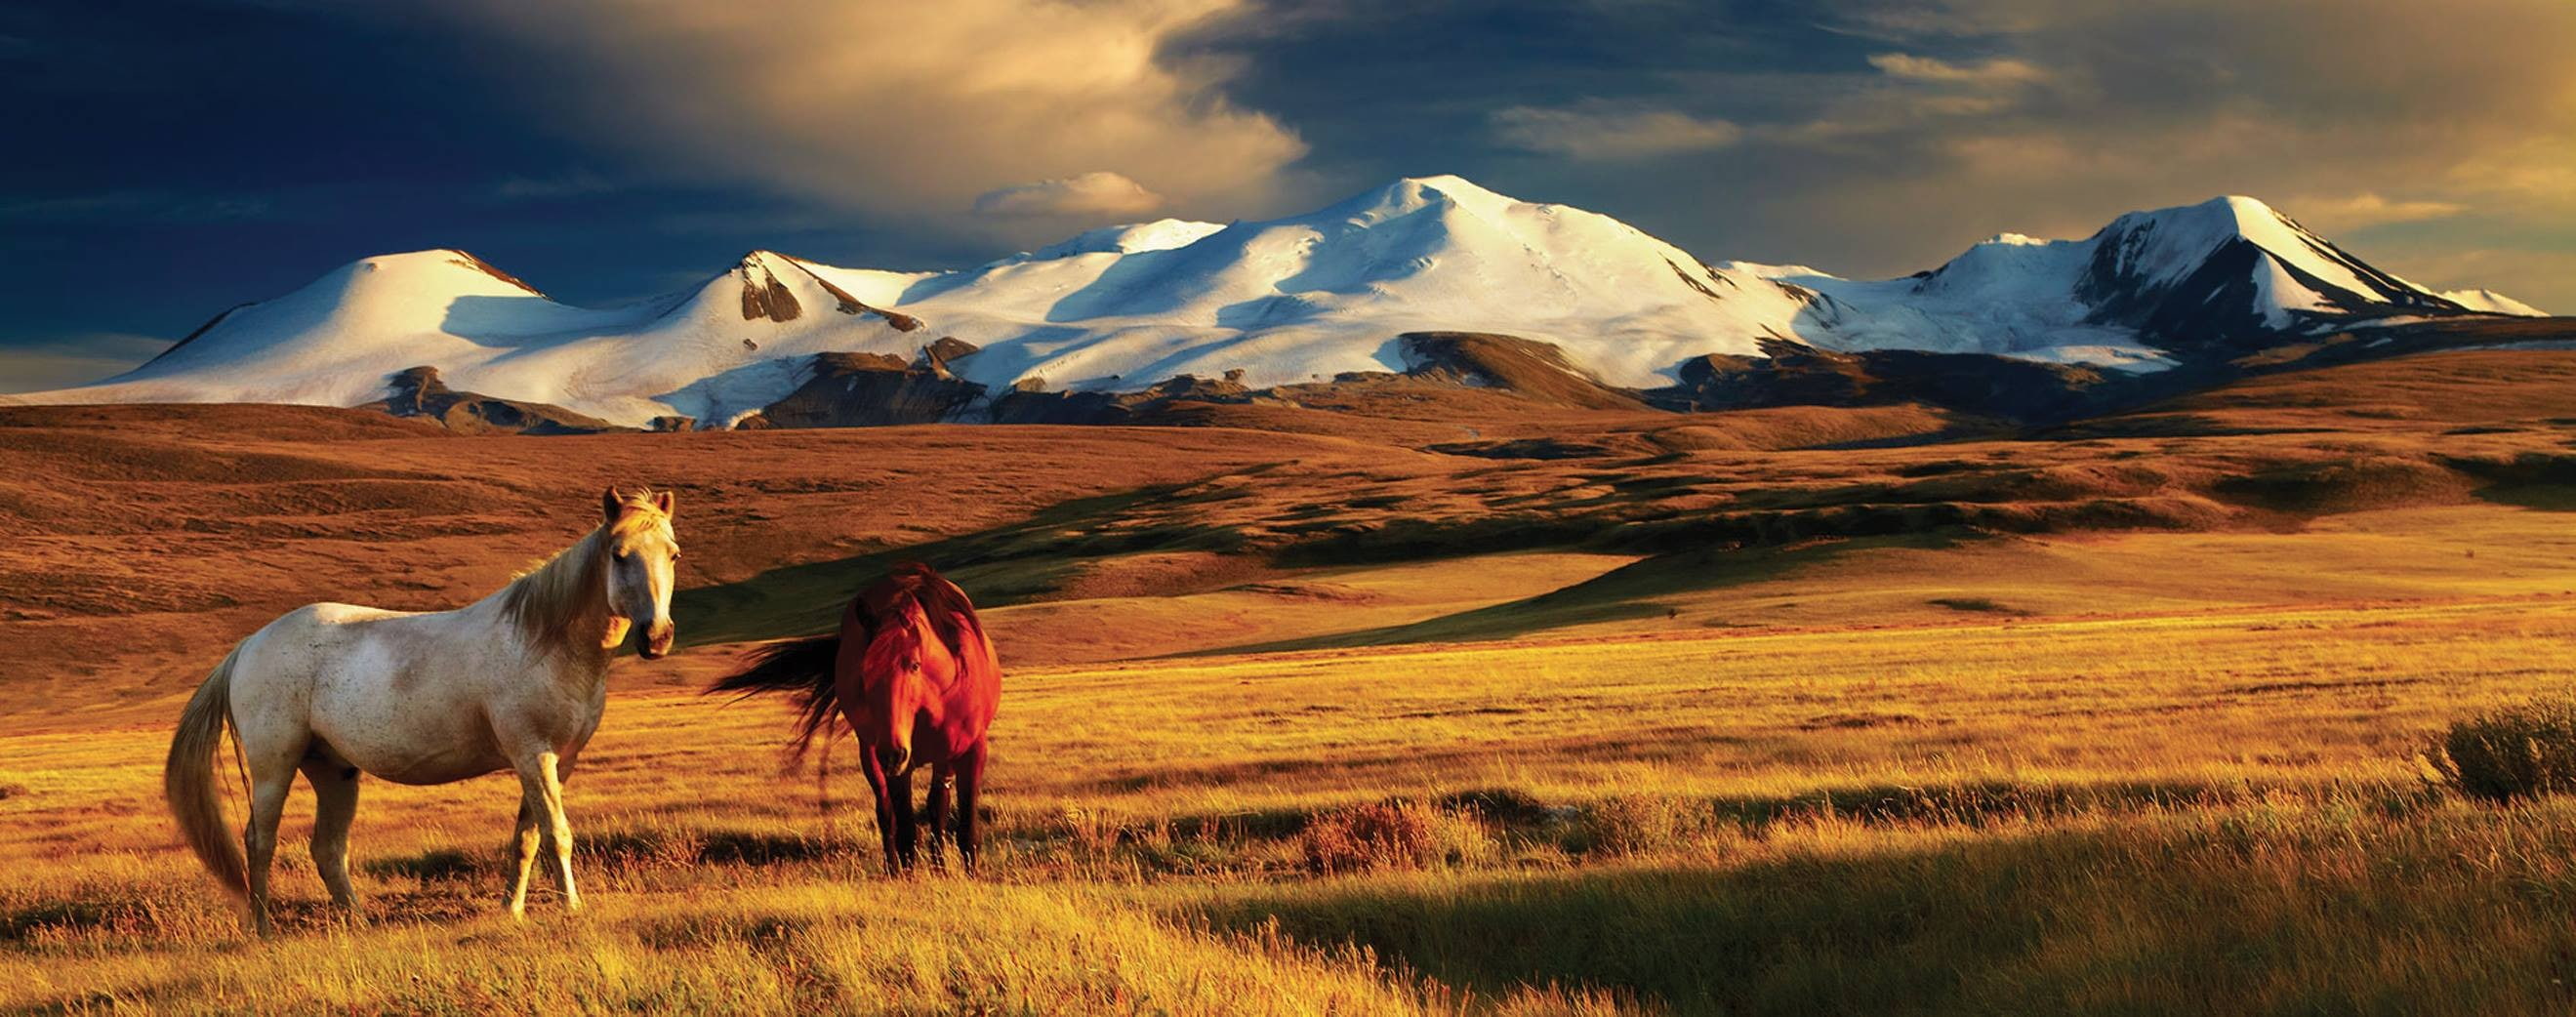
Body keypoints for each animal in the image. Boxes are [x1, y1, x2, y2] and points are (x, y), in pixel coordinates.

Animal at [164, 487, 683, 934]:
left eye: (673, 553)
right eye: (619, 554)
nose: (657, 637)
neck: (544, 641)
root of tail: (249, 644)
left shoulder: (559, 760)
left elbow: (527, 838)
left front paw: (511, 910)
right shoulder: (533, 755)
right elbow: (557, 834)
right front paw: (572, 907)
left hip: (333, 771)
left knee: (328, 849)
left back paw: (361, 922)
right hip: (275, 765)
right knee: (260, 840)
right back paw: (264, 928)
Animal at [711, 562, 1001, 874]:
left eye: (914, 665)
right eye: (864, 673)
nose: (893, 753)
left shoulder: (971, 752)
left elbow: (965, 829)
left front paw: (966, 875)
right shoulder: (900, 764)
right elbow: (906, 831)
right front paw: (909, 878)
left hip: (938, 757)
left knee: (937, 807)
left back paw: (939, 868)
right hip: (873, 755)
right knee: (888, 815)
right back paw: (895, 870)